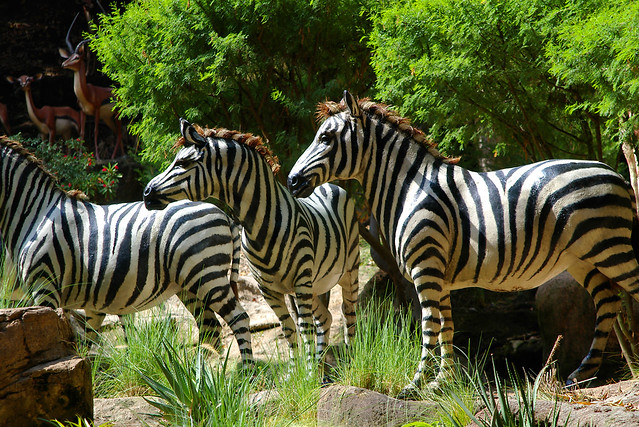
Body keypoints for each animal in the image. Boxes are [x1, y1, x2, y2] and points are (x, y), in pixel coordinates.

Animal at [0, 136, 255, 362]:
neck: (35, 214)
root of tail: (223, 213)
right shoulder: (92, 303)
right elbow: (86, 348)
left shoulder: (44, 287)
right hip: (189, 285)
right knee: (210, 329)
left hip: (208, 275)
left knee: (239, 318)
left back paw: (246, 373)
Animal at [144, 120, 360, 368]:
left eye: (183, 163)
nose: (146, 193)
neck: (262, 225)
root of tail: (329, 185)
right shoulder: (268, 290)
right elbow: (289, 329)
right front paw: (297, 372)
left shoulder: (300, 282)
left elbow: (304, 328)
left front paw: (308, 373)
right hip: (314, 285)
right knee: (325, 318)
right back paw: (321, 366)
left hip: (347, 270)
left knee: (348, 313)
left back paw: (350, 359)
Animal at [290, 90, 639, 398]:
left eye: (326, 138)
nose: (292, 181)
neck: (410, 189)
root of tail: (616, 174)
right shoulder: (440, 277)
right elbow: (447, 328)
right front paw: (441, 383)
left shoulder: (425, 268)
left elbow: (429, 327)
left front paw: (415, 386)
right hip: (584, 257)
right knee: (608, 301)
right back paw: (582, 374)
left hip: (610, 249)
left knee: (627, 291)